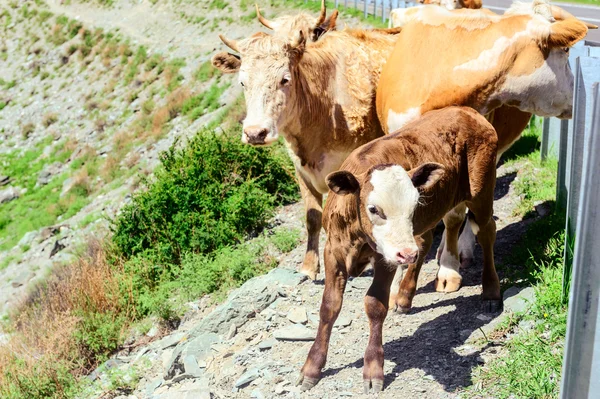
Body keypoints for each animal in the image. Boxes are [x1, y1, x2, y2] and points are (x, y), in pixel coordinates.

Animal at [298, 106, 500, 394]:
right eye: (374, 209)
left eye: (414, 205)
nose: (406, 253)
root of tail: (467, 111)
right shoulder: (333, 251)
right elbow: (329, 306)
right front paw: (312, 367)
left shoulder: (386, 258)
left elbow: (375, 304)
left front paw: (373, 369)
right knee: (425, 242)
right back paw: (405, 296)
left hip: (481, 191)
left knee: (486, 231)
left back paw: (492, 291)